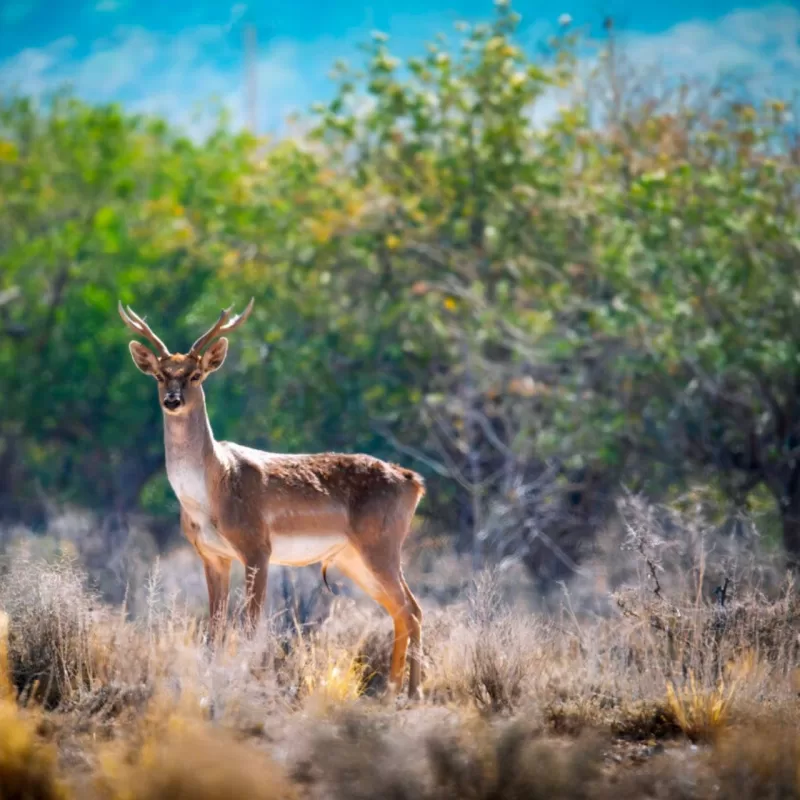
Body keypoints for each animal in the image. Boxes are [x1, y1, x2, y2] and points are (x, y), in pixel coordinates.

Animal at [118, 296, 424, 696]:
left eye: (196, 374)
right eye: (159, 374)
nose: (172, 400)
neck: (212, 489)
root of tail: (413, 481)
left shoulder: (257, 548)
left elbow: (250, 628)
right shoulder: (212, 556)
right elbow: (215, 629)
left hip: (381, 545)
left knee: (412, 609)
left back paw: (413, 691)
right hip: (352, 558)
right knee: (400, 610)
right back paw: (392, 690)